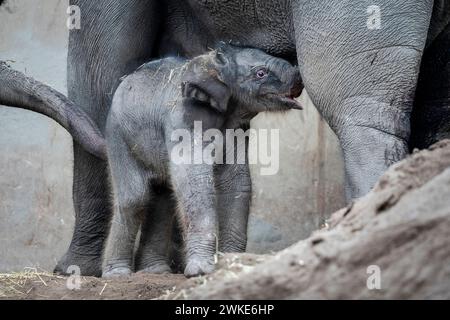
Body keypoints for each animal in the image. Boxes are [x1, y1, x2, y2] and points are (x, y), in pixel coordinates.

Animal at [103, 44, 302, 278]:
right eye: (260, 73)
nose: (299, 75)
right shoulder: (185, 120)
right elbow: (194, 184)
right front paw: (201, 271)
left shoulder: (236, 131)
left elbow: (236, 182)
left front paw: (229, 263)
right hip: (118, 135)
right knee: (134, 198)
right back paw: (118, 275)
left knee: (163, 197)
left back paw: (156, 272)